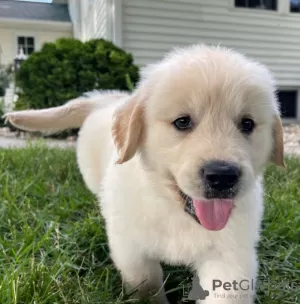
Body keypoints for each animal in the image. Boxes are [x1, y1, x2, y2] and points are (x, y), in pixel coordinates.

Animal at [4, 45, 284, 304]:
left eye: (247, 124)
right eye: (182, 122)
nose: (222, 176)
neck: (175, 211)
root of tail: (105, 99)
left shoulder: (231, 255)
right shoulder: (131, 249)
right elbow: (147, 284)